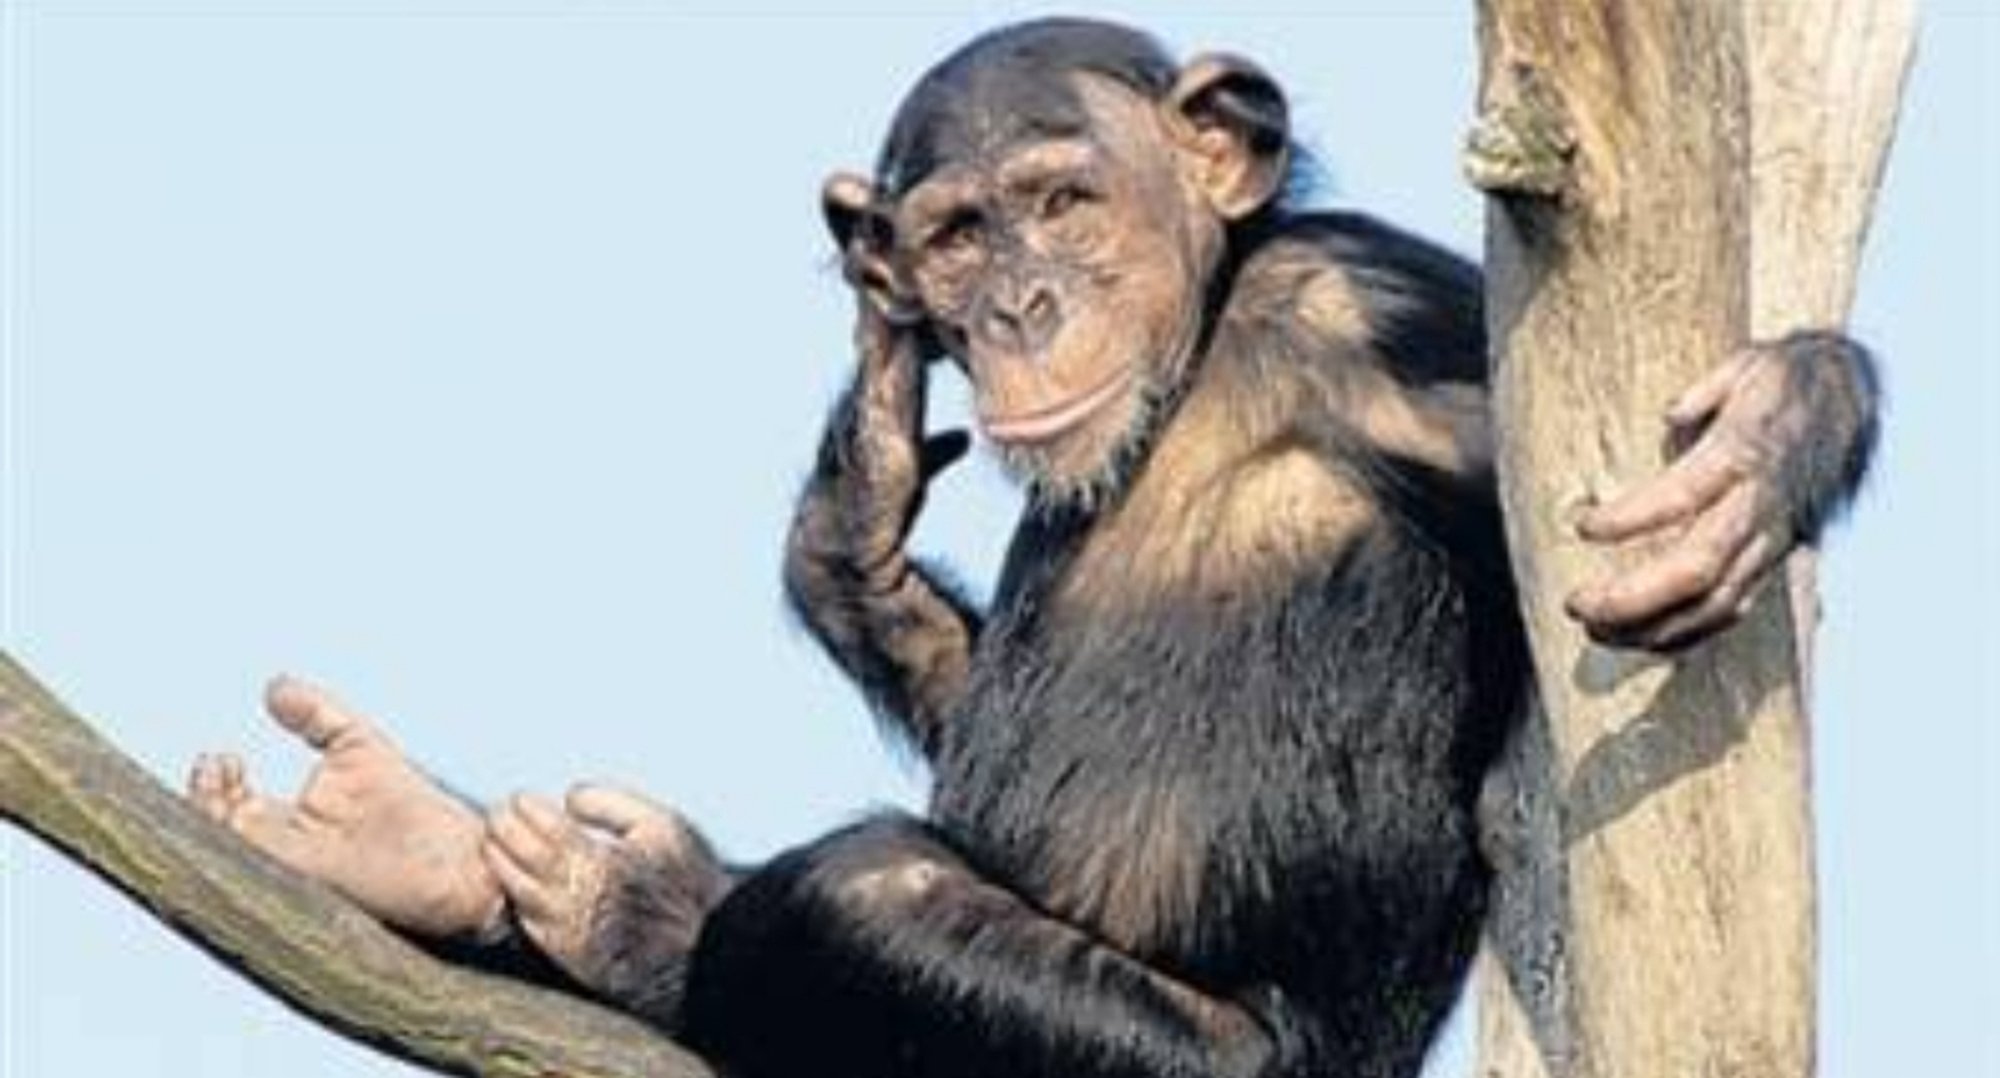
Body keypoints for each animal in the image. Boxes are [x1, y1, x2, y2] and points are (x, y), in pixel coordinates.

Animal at [188, 18, 1877, 1078]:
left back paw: (633, 918)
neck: (1204, 342)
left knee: (862, 895)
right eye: (953, 236)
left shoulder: (1385, 324)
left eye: (1062, 200)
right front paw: (851, 524)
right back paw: (419, 847)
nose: (1019, 305)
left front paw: (1776, 427)